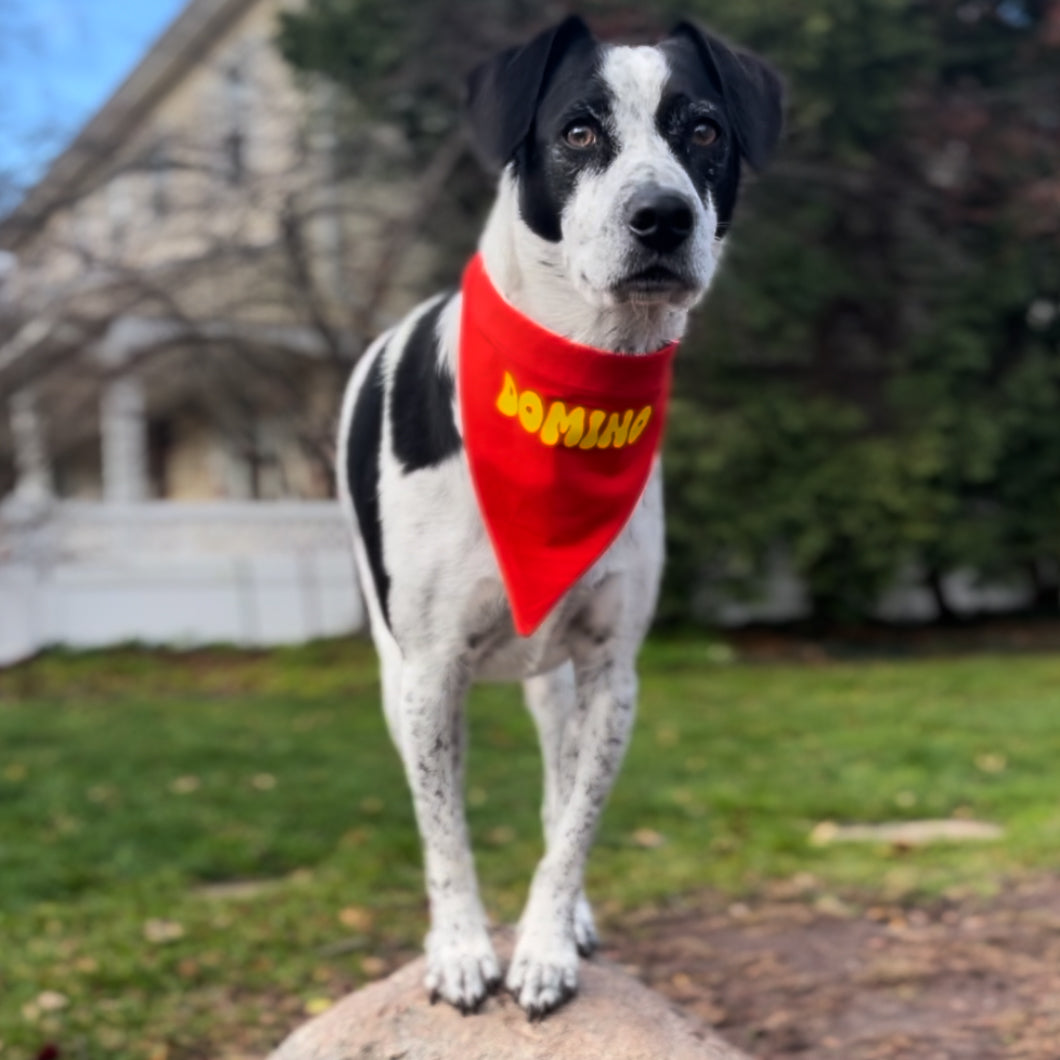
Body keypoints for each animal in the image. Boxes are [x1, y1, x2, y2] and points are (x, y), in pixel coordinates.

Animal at [334, 14, 784, 1017]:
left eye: (705, 131)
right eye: (578, 131)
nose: (664, 216)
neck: (574, 388)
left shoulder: (611, 669)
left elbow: (573, 823)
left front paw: (545, 943)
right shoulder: (430, 675)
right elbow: (444, 831)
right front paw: (463, 948)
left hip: (558, 679)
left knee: (553, 780)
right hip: (395, 668)